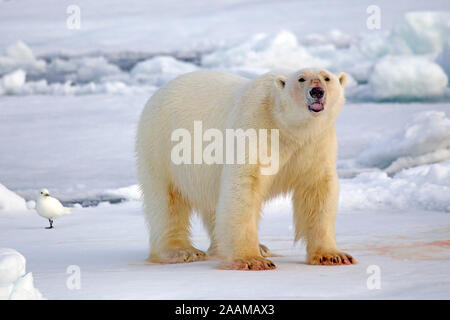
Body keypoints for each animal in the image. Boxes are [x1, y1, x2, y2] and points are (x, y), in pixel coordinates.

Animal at [135, 68, 356, 270]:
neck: (287, 128)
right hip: (161, 146)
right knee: (167, 201)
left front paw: (333, 256)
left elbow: (318, 191)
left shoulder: (316, 144)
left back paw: (254, 247)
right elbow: (244, 185)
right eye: (301, 79)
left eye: (327, 78)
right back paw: (181, 251)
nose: (317, 91)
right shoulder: (255, 127)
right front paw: (252, 260)